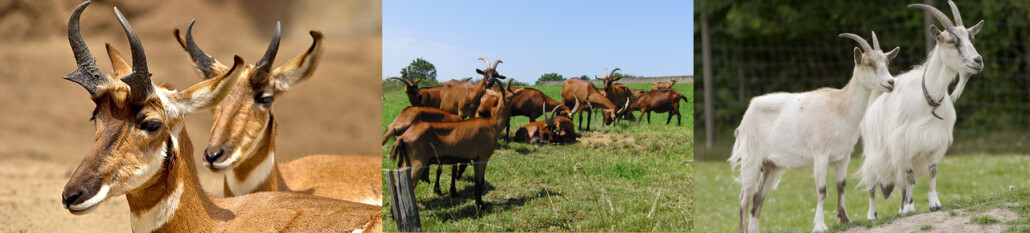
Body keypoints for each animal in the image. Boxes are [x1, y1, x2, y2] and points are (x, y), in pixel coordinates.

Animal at [391, 80, 527, 207]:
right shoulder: (483, 157)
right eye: (511, 97)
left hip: (406, 162)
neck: (492, 125)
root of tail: (402, 137)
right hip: (418, 162)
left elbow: (478, 180)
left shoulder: (475, 159)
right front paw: (480, 204)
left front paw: (478, 202)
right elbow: (480, 181)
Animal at [729, 31, 898, 233]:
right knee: (744, 197)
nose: (891, 82)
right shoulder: (820, 155)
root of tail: (746, 116)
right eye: (868, 63)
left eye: (887, 63)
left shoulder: (844, 156)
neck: (840, 108)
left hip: (771, 165)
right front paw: (820, 225)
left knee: (758, 196)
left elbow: (841, 186)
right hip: (751, 159)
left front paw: (845, 219)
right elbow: (822, 190)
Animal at [856, 0, 984, 220]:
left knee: (900, 181)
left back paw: (900, 209)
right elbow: (909, 175)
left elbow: (932, 171)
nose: (978, 61)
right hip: (875, 150)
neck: (928, 98)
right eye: (950, 41)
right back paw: (873, 215)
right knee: (873, 182)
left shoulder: (935, 140)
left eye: (972, 37)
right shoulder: (903, 142)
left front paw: (933, 203)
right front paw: (910, 207)